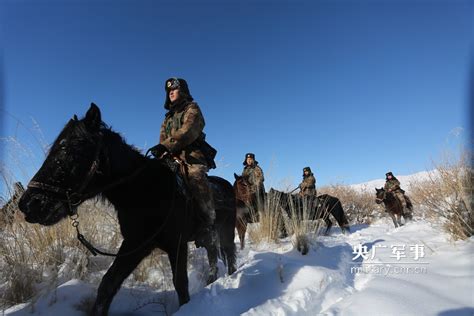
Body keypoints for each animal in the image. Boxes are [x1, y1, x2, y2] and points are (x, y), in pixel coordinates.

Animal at [18, 104, 237, 316]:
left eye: (71, 149)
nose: (28, 204)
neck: (147, 191)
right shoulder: (135, 244)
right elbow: (108, 284)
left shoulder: (176, 244)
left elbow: (181, 284)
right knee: (213, 257)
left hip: (226, 230)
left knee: (229, 255)